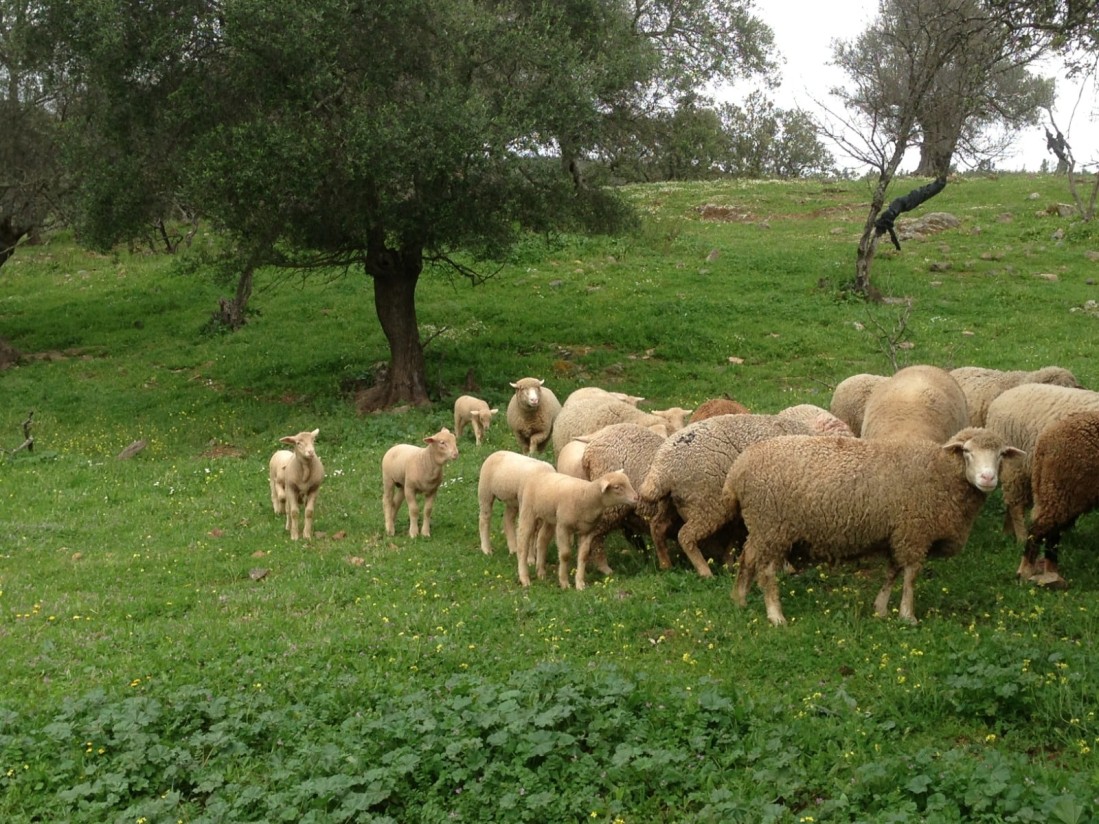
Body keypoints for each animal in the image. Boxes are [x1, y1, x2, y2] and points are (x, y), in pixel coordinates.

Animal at [633, 413, 822, 580]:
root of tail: (661, 470)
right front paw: (786, 567)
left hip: (673, 502)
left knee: (657, 527)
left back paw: (666, 564)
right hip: (706, 504)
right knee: (685, 535)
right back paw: (705, 572)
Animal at [725, 432, 1024, 624]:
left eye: (1001, 455)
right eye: (967, 452)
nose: (988, 478)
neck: (941, 473)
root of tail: (737, 470)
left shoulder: (896, 532)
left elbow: (893, 572)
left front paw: (880, 609)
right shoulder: (914, 531)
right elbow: (911, 575)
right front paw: (908, 615)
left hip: (761, 527)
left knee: (747, 557)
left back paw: (739, 600)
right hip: (771, 524)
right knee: (766, 571)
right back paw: (776, 616)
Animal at [984, 382, 1099, 549]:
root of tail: (1003, 396)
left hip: (1031, 472)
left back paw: (1007, 533)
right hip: (1015, 467)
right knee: (1016, 506)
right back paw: (1021, 539)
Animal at [1015, 413, 1099, 588]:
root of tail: (1045, 439)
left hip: (1056, 492)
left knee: (1052, 534)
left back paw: (1052, 574)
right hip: (1061, 489)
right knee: (1038, 532)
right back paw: (1024, 573)